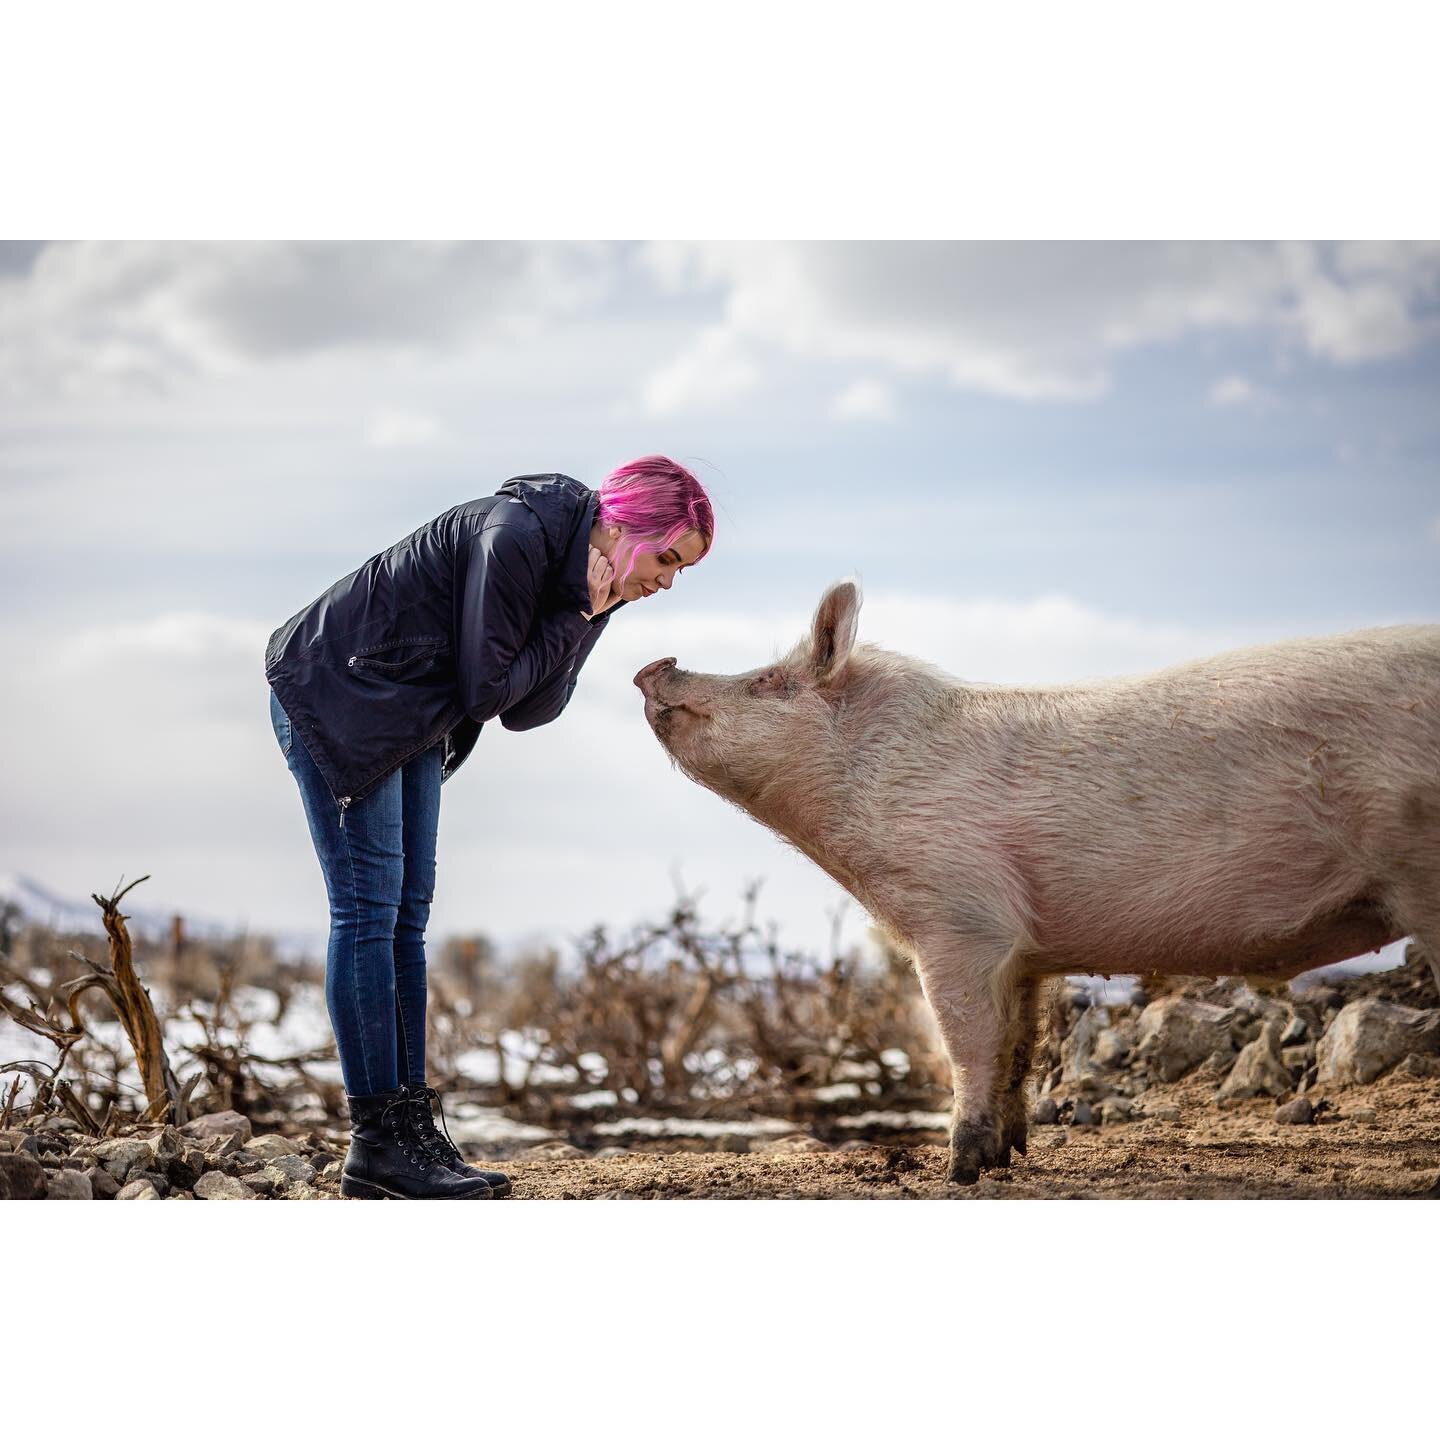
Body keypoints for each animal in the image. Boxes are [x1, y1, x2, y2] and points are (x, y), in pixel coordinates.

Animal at [639, 581, 1440, 1180]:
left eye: (769, 680)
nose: (654, 664)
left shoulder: (956, 918)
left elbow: (965, 1041)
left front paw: (959, 1172)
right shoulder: (1023, 954)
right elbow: (1019, 1046)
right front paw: (1007, 1157)